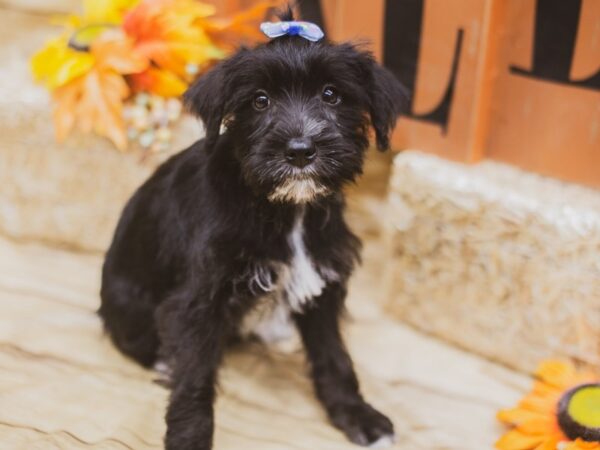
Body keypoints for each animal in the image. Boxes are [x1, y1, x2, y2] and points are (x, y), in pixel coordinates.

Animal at [99, 8, 408, 448]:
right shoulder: (198, 301)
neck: (285, 209)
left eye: (331, 95)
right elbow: (193, 380)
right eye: (260, 101)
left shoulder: (323, 280)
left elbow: (334, 354)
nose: (300, 151)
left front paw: (355, 413)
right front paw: (190, 438)